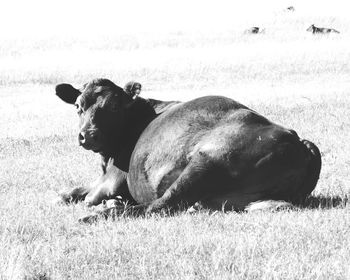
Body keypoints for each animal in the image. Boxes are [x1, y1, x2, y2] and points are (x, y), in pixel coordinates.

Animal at [56, 78, 322, 221]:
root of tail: (299, 141)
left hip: (207, 162)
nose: (87, 135)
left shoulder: (111, 179)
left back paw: (101, 213)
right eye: (78, 106)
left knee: (159, 205)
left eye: (113, 107)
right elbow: (73, 190)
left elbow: (88, 196)